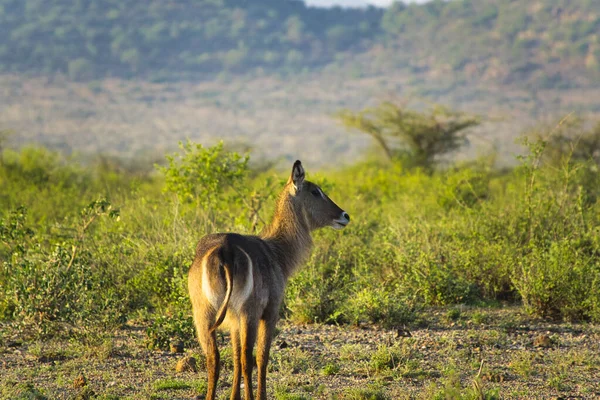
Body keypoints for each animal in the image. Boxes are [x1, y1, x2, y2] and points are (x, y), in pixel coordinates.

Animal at [188, 160, 346, 400]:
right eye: (315, 191)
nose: (345, 215)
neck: (277, 251)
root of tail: (225, 250)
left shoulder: (233, 321)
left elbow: (234, 357)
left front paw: (233, 397)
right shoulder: (270, 312)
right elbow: (261, 357)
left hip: (204, 314)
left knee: (214, 358)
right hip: (249, 312)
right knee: (248, 359)